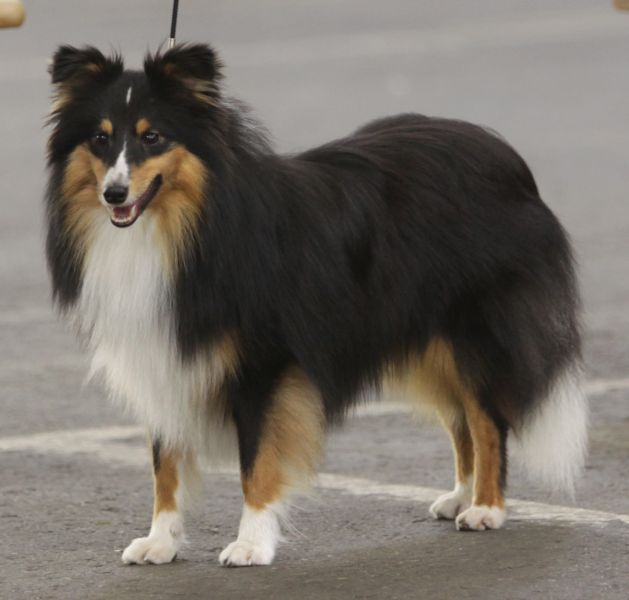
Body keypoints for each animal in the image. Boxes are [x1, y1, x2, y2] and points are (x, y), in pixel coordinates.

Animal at [45, 44, 588, 567]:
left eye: (153, 137)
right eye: (100, 139)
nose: (114, 193)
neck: (189, 227)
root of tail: (503, 154)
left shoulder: (264, 367)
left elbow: (255, 462)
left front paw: (252, 545)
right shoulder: (162, 354)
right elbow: (165, 464)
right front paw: (161, 541)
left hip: (470, 330)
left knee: (487, 420)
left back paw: (486, 509)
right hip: (427, 337)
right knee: (461, 422)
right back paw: (460, 496)